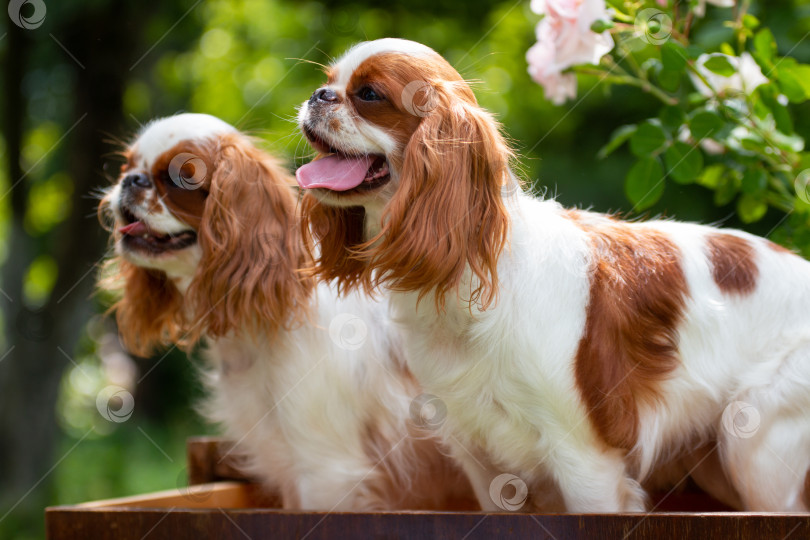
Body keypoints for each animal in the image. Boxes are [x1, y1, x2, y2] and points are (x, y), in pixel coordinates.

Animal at [296, 38, 808, 510]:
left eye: (368, 94)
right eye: (328, 80)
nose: (318, 95)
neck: (473, 275)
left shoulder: (585, 460)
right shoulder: (480, 458)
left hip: (755, 447)